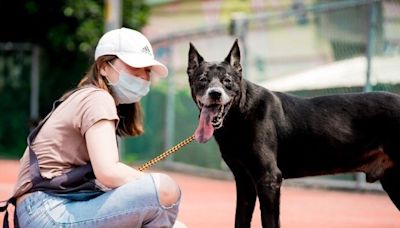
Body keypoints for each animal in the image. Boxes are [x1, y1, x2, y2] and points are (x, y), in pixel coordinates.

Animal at [187, 40, 400, 227]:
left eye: (227, 81)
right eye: (202, 79)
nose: (215, 94)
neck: (240, 113)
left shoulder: (269, 179)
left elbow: (270, 222)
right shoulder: (244, 182)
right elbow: (240, 221)